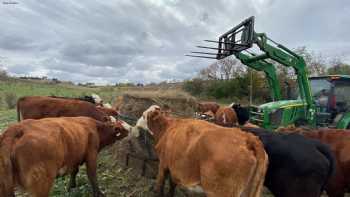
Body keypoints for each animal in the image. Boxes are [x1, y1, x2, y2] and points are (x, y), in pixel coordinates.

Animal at [0, 117, 131, 197]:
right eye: (123, 127)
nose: (131, 128)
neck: (96, 127)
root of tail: (17, 128)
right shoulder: (91, 154)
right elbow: (92, 175)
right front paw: (98, 193)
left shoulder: (74, 158)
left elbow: (74, 171)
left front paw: (70, 186)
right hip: (42, 184)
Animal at [132, 105, 268, 197]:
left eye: (144, 115)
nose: (136, 124)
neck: (167, 127)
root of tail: (248, 138)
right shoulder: (174, 168)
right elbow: (172, 185)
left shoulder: (163, 164)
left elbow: (159, 185)